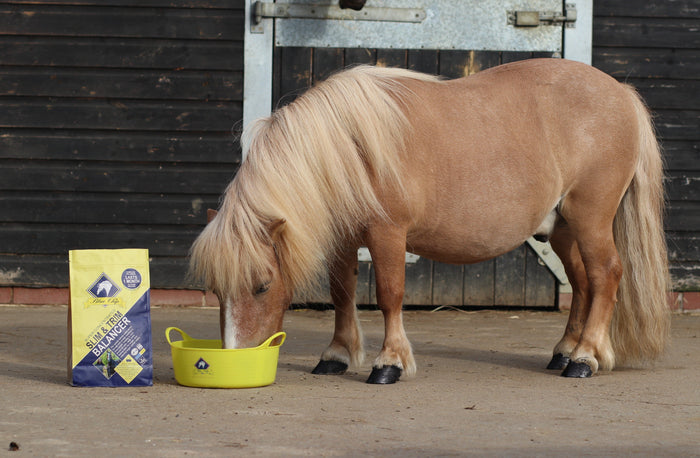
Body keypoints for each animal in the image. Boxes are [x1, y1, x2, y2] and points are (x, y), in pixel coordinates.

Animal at [190, 58, 670, 384]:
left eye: (262, 285)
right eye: (216, 289)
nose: (234, 355)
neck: (350, 146)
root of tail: (621, 93)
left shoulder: (387, 234)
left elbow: (390, 294)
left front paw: (390, 363)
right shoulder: (345, 238)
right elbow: (343, 294)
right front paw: (337, 356)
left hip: (590, 219)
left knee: (607, 276)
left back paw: (586, 359)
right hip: (564, 229)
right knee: (584, 285)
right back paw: (565, 353)